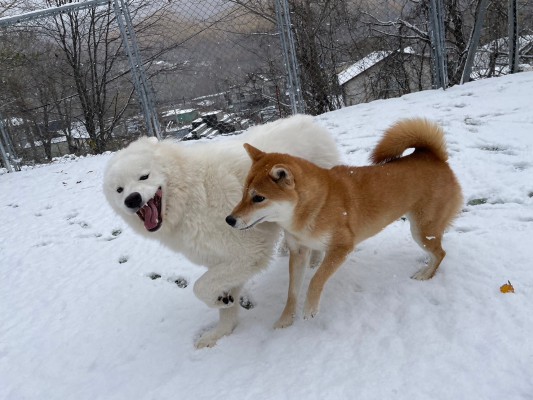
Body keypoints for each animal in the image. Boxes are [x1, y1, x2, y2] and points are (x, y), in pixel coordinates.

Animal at [102, 114, 338, 348]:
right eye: (119, 189)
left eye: (144, 176)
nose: (132, 199)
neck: (190, 196)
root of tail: (305, 119)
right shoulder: (224, 259)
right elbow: (222, 302)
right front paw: (221, 326)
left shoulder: (248, 252)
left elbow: (199, 286)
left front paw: (219, 303)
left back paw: (314, 260)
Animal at [224, 117, 462, 326]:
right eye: (243, 194)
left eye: (258, 198)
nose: (229, 220)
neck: (315, 207)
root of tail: (434, 157)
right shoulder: (298, 252)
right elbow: (291, 292)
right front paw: (284, 320)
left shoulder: (341, 248)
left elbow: (316, 279)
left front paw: (310, 308)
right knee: (437, 252)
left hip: (421, 230)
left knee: (440, 253)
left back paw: (426, 274)